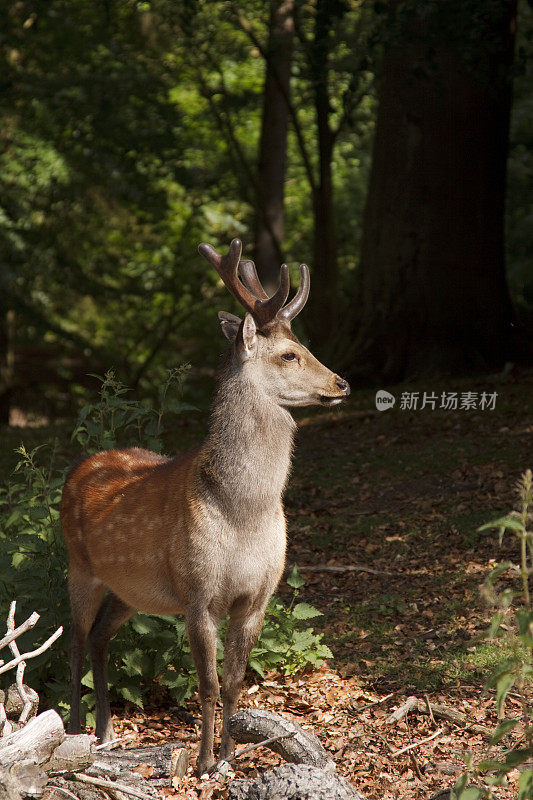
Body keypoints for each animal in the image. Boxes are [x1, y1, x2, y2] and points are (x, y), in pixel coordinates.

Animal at [61, 238, 350, 776]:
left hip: (132, 590)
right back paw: (72, 730)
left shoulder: (257, 597)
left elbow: (236, 682)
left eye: (305, 346)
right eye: (290, 354)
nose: (341, 383)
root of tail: (79, 468)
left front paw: (230, 757)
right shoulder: (198, 593)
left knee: (100, 638)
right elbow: (209, 685)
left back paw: (107, 732)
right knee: (73, 639)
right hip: (79, 566)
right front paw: (202, 762)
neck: (243, 510)